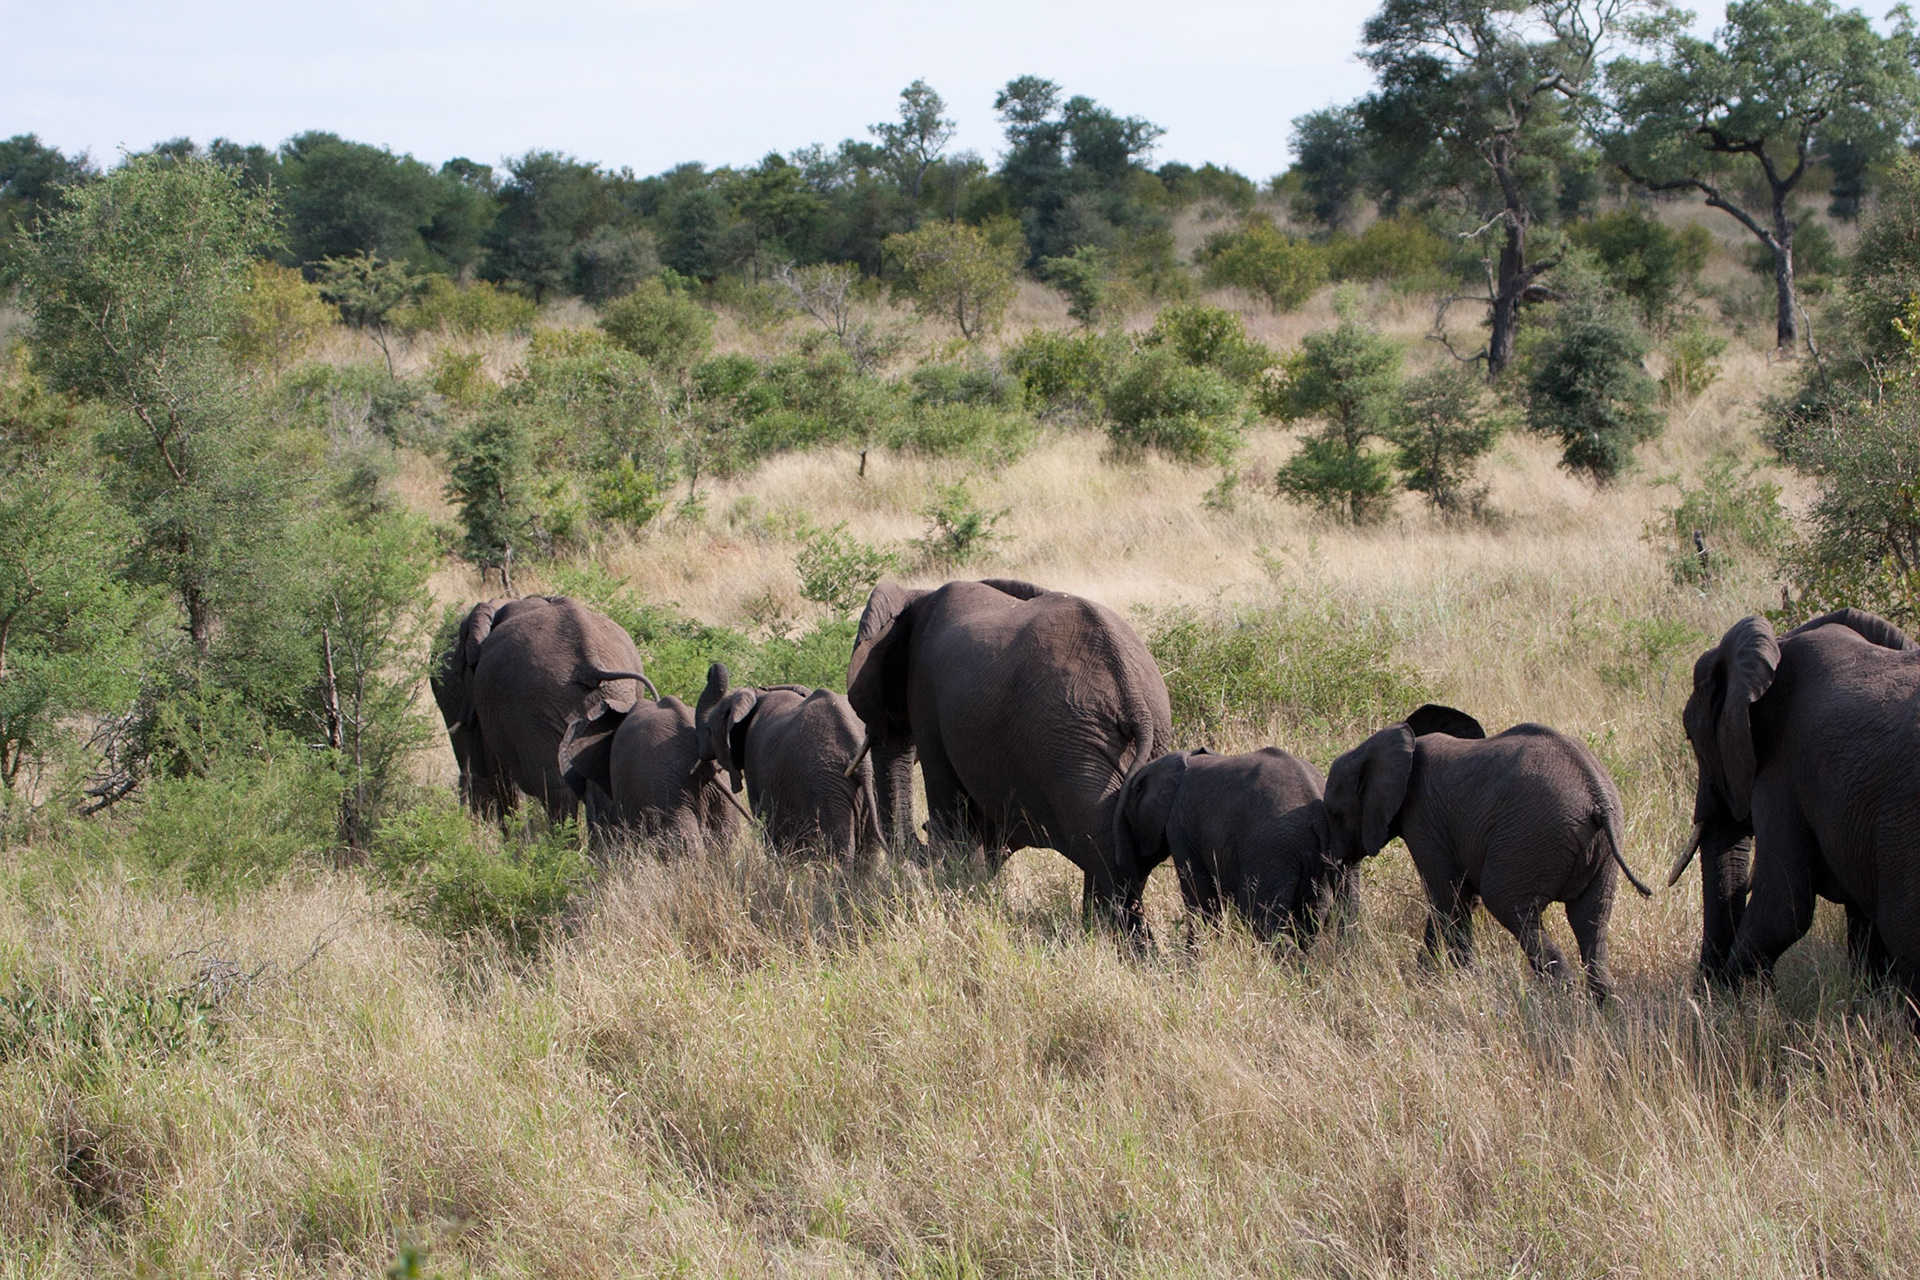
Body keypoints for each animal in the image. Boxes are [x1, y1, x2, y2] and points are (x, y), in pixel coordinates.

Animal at [694, 663, 883, 861]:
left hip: (827, 788)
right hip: (869, 789)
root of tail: (861, 761)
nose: (712, 668)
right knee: (868, 853)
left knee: (838, 850)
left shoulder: (753, 759)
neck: (755, 695)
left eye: (709, 729)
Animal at [846, 578, 1174, 925]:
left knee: (1101, 846)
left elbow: (946, 801)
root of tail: (1133, 698)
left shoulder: (925, 694)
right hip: (1139, 738)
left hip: (1071, 749)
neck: (917, 594)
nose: (923, 833)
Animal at [1112, 747, 1352, 946]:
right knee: (1312, 918)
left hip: (1271, 850)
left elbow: (1201, 899)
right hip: (1315, 858)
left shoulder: (1180, 826)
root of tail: (1318, 814)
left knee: (1260, 918)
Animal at [1324, 704, 1652, 1000]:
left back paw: (1563, 996)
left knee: (1510, 905)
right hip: (1601, 849)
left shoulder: (1423, 819)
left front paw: (1457, 978)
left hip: (1529, 836)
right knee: (1591, 918)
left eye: (1334, 814)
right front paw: (1429, 977)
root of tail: (1595, 794)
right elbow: (1455, 898)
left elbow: (1446, 898)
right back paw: (1603, 1003)